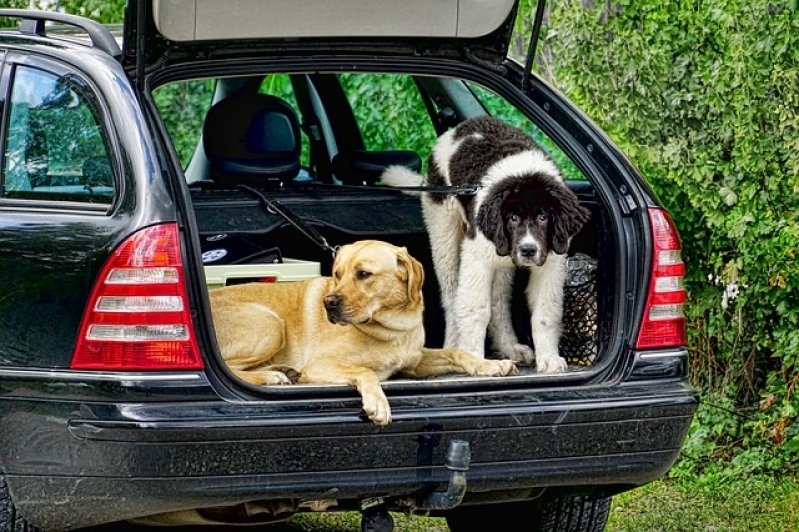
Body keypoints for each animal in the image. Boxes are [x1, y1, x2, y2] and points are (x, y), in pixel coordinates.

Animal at [378, 116, 592, 372]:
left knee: (499, 303)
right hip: (444, 232)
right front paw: (474, 359)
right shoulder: (477, 258)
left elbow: (546, 311)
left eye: (543, 217)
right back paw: (452, 346)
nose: (528, 250)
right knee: (452, 297)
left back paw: (509, 347)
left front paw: (549, 358)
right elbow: (475, 308)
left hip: (500, 263)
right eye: (512, 218)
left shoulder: (551, 262)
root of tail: (458, 128)